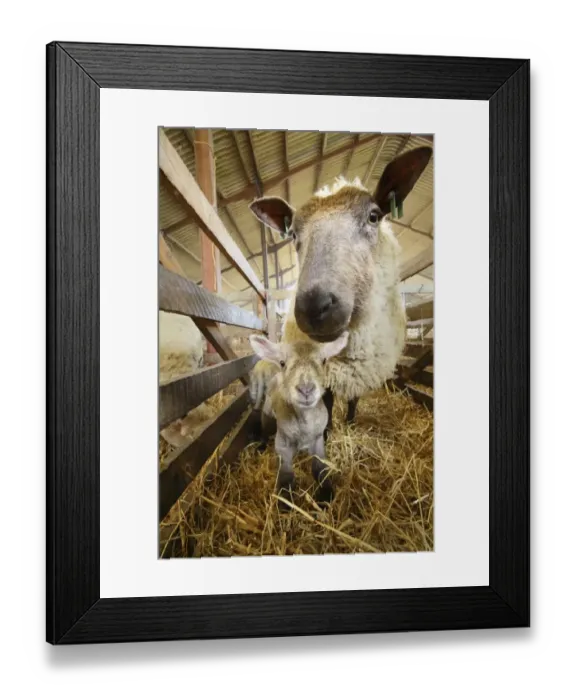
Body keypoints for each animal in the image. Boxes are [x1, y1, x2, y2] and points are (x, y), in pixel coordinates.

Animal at [248, 146, 432, 431]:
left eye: (374, 217)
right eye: (293, 234)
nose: (313, 307)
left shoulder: (362, 370)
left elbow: (354, 399)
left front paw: (351, 422)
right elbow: (327, 400)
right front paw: (328, 430)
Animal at [249, 331, 349, 504]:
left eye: (323, 360)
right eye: (282, 362)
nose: (306, 389)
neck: (305, 425)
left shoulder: (318, 440)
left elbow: (320, 468)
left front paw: (326, 495)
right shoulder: (282, 444)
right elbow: (286, 476)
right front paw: (284, 502)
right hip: (268, 414)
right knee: (265, 431)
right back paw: (260, 446)